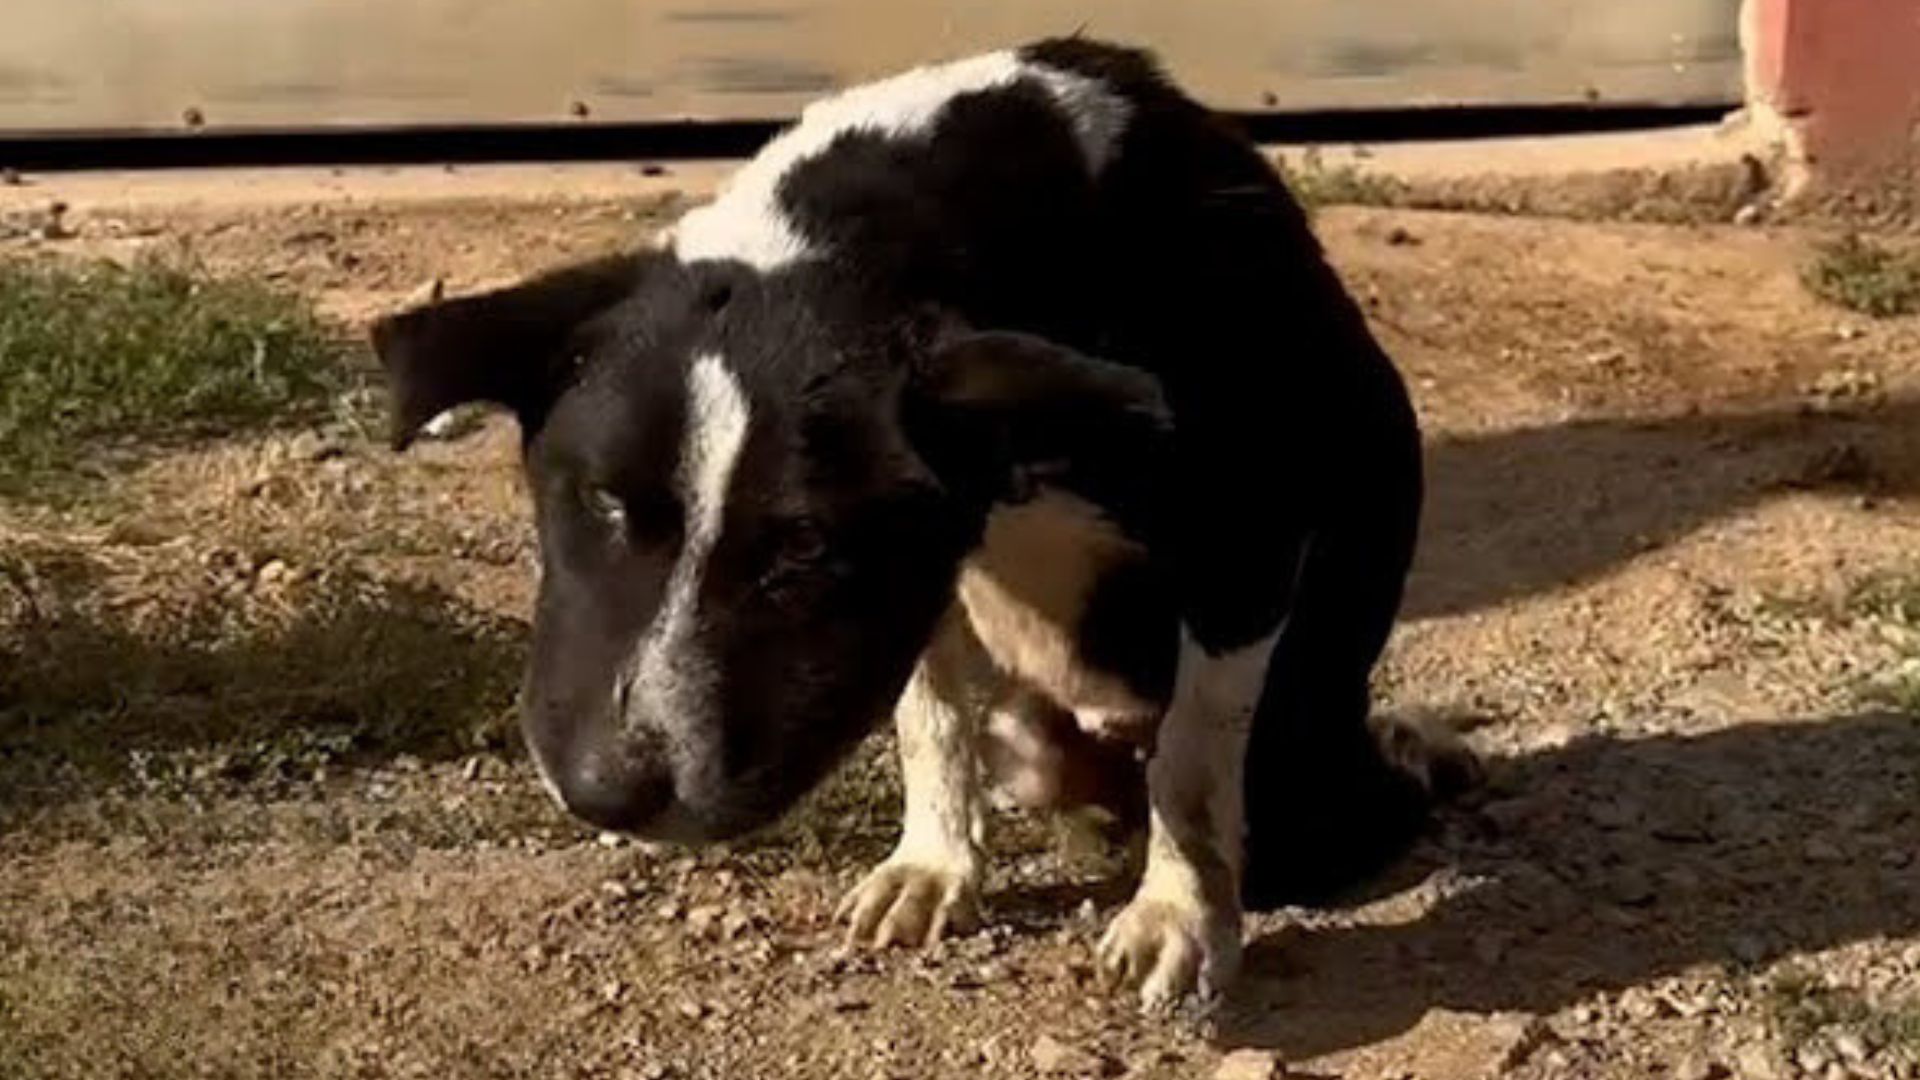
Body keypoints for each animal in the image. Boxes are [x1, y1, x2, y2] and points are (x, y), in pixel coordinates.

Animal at [370, 39, 1466, 999]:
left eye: (807, 543)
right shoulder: (932, 578)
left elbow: (1194, 758)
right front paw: (934, 869)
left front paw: (1179, 919)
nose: (607, 791)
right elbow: (929, 718)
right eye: (599, 499)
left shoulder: (1249, 537)